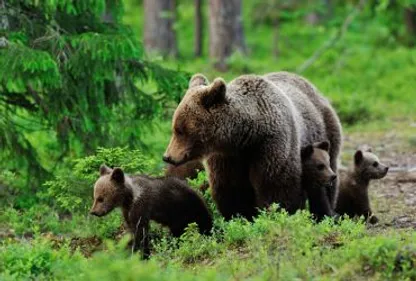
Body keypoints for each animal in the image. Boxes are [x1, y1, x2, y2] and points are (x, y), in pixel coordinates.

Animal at [162, 71, 342, 219]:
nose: (167, 157)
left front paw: (274, 214)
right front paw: (241, 217)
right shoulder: (228, 157)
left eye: (180, 130)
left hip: (325, 134)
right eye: (175, 127)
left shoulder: (272, 145)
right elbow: (232, 190)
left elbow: (276, 187)